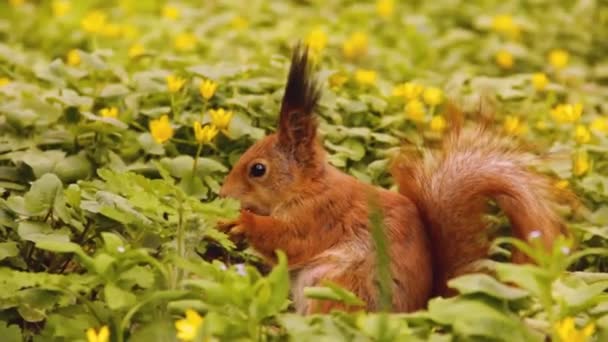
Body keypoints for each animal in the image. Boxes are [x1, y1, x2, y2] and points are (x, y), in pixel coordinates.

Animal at [218, 44, 564, 314]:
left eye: (257, 169)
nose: (223, 194)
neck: (308, 187)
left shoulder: (320, 216)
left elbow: (288, 240)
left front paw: (243, 221)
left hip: (339, 288)